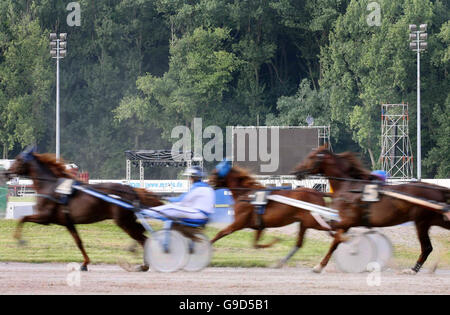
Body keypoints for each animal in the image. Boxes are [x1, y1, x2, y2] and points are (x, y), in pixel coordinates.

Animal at [3, 147, 163, 272]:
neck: (51, 187)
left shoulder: (45, 217)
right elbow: (79, 242)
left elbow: (22, 218)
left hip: (123, 221)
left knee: (142, 238)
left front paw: (20, 240)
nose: (6, 173)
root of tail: (130, 189)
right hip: (128, 220)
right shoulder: (68, 222)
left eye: (18, 159)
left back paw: (144, 265)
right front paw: (85, 263)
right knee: (143, 235)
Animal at [294, 146, 448, 274]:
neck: (348, 187)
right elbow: (335, 239)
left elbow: (335, 239)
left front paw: (320, 265)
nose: (295, 171)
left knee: (427, 247)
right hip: (434, 220)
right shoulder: (346, 223)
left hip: (421, 221)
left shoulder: (346, 221)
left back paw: (413, 269)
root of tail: (438, 190)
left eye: (311, 157)